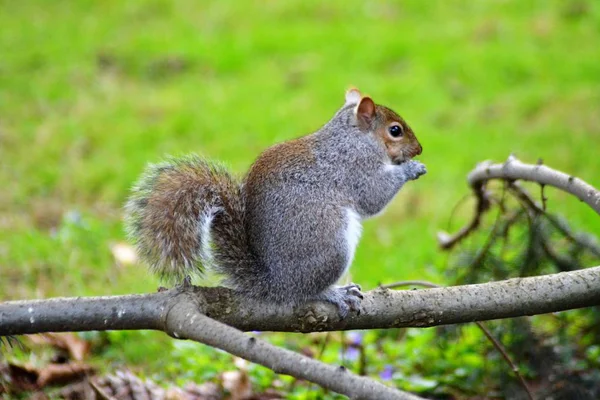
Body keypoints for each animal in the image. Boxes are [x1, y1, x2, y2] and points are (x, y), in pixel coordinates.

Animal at [124, 89, 426, 318]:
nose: (419, 149)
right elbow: (373, 196)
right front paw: (411, 169)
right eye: (395, 130)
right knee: (305, 292)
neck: (352, 138)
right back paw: (334, 293)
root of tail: (276, 283)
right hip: (330, 245)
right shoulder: (355, 168)